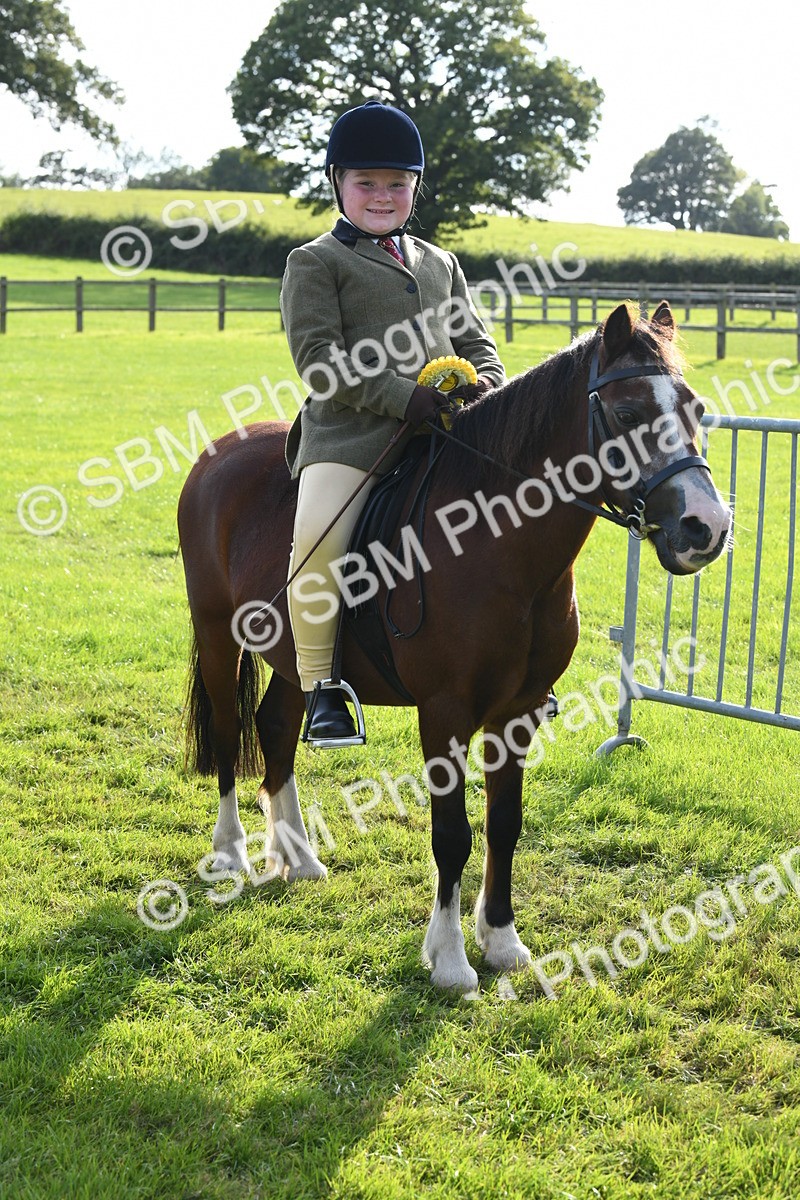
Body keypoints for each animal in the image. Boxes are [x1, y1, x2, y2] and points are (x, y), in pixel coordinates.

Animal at [177, 301, 731, 992]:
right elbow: (452, 835)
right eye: (628, 414)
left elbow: (504, 825)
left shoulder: (518, 712)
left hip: (291, 656)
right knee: (230, 731)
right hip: (215, 632)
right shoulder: (444, 713)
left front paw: (503, 942)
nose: (706, 528)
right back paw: (230, 852)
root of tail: (221, 451)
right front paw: (449, 960)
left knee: (276, 726)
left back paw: (299, 857)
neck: (495, 544)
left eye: (695, 408)